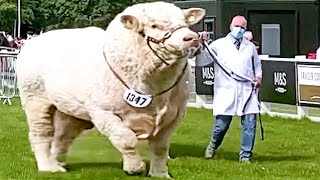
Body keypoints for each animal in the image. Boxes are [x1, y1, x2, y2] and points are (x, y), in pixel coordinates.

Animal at [16, 1, 205, 179]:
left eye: (185, 23)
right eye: (154, 25)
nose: (191, 37)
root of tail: (35, 40)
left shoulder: (174, 115)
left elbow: (161, 147)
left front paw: (160, 174)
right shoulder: (103, 111)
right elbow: (126, 139)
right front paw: (135, 168)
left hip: (71, 111)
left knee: (62, 137)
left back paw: (57, 164)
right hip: (35, 99)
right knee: (40, 133)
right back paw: (47, 167)